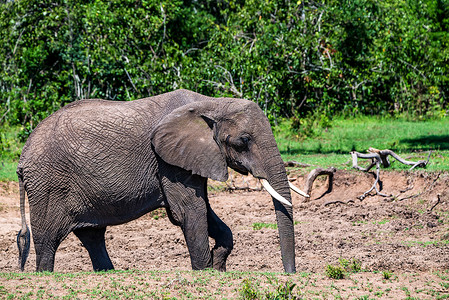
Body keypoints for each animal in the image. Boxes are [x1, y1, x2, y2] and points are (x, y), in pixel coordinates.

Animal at [15, 88, 306, 272]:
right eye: (243, 141)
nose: (290, 274)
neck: (212, 103)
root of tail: (23, 155)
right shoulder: (167, 161)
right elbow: (189, 210)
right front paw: (204, 271)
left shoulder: (191, 157)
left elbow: (206, 211)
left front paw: (218, 264)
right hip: (48, 185)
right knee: (48, 240)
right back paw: (44, 274)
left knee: (92, 235)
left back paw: (109, 273)